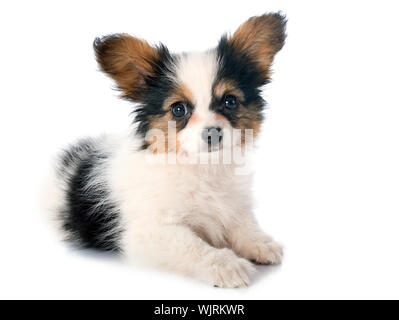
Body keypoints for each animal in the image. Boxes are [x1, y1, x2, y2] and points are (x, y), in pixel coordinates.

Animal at [48, 11, 288, 288]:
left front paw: (261, 243)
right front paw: (226, 265)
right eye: (178, 109)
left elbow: (242, 223)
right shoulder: (150, 231)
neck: (202, 166)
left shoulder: (232, 205)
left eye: (230, 101)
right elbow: (193, 246)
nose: (213, 133)